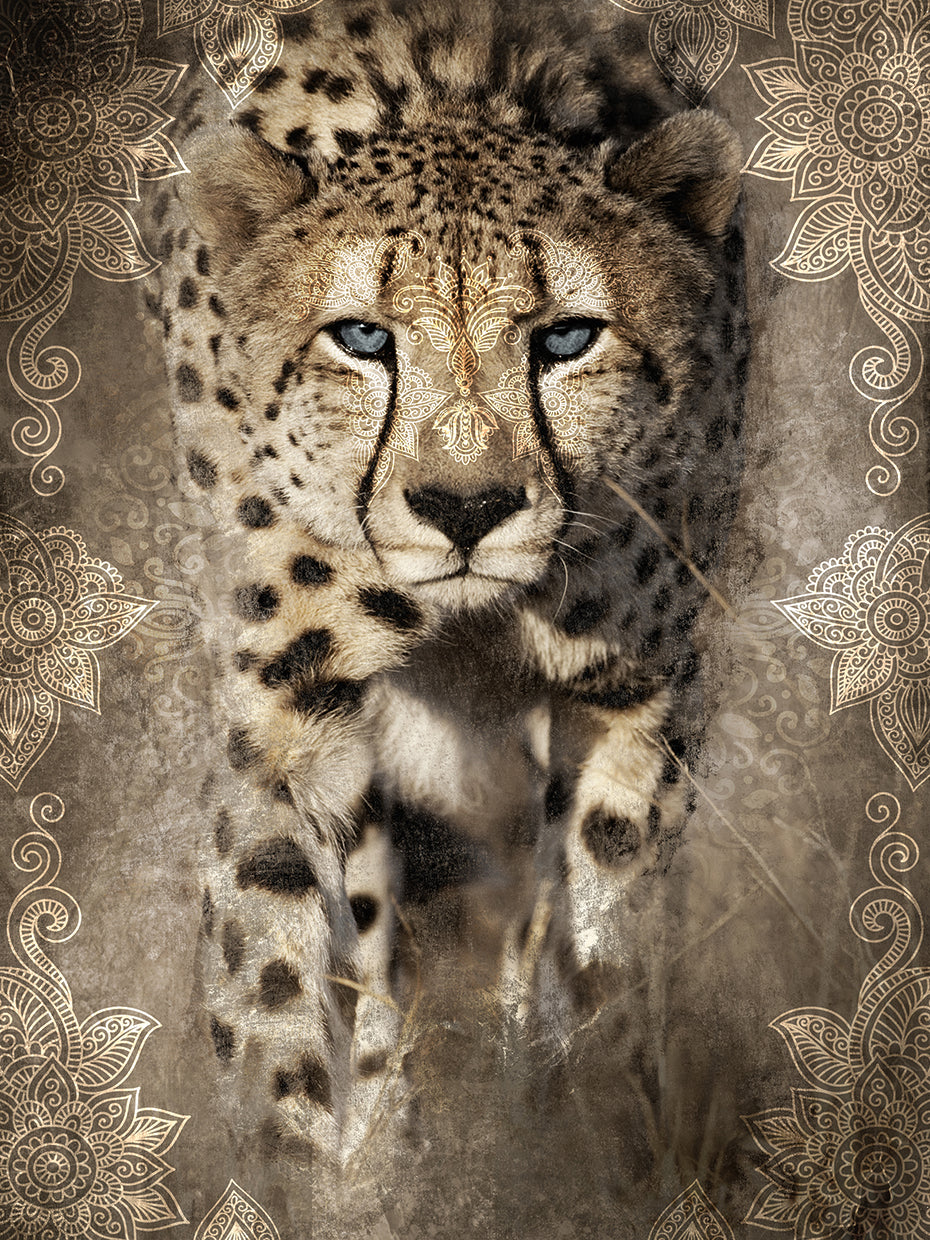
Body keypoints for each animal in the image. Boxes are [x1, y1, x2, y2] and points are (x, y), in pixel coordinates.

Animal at [144, 0, 747, 1175]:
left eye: (568, 336)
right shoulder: (286, 704)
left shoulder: (636, 685)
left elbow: (597, 917)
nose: (466, 509)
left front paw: (572, 1142)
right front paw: (308, 1173)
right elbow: (275, 964)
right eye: (362, 337)